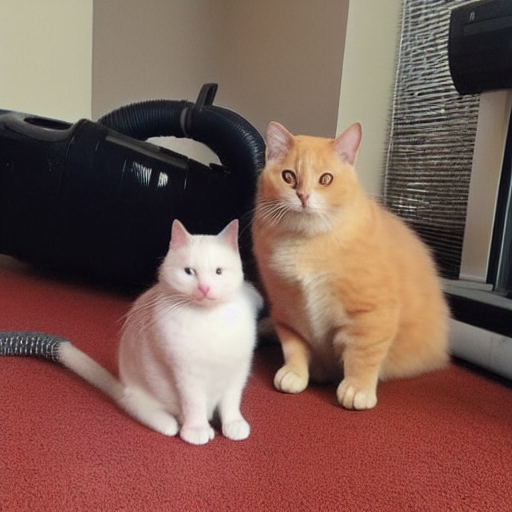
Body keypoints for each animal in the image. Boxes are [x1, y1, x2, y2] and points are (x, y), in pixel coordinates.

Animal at [0, 219, 263, 445]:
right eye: (189, 272)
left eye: (219, 272)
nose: (204, 288)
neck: (208, 318)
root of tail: (122, 388)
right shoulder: (187, 375)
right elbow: (194, 403)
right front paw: (196, 429)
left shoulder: (238, 371)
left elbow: (231, 402)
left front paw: (234, 424)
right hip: (140, 398)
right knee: (147, 412)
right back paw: (169, 422)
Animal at [252, 121, 449, 410]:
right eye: (288, 177)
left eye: (325, 179)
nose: (303, 195)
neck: (305, 240)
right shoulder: (288, 309)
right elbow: (294, 345)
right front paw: (295, 373)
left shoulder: (371, 314)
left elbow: (362, 355)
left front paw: (358, 388)